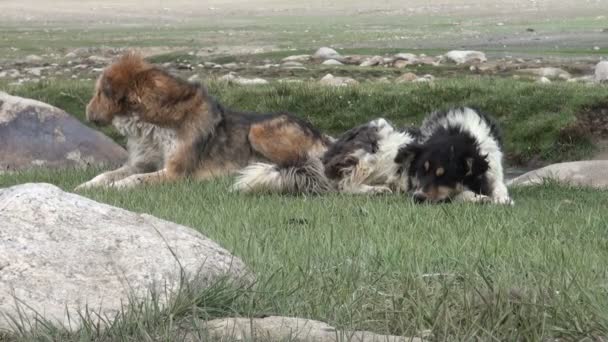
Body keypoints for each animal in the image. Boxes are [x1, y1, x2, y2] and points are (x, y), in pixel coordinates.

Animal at [77, 52, 332, 190]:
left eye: (99, 93)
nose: (86, 110)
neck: (150, 123)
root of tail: (323, 137)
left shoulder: (174, 173)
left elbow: (135, 179)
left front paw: (115, 187)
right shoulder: (140, 162)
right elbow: (108, 174)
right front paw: (87, 185)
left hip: (258, 130)